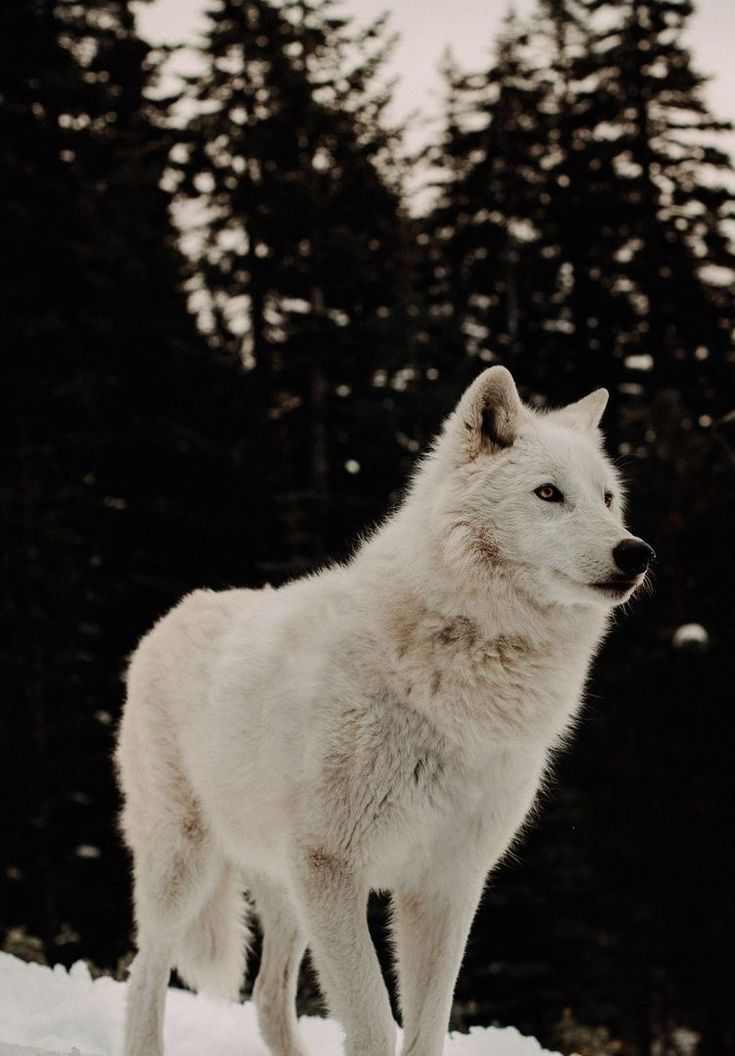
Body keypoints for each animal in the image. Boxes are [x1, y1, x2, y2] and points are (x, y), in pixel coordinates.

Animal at [111, 369, 650, 1056]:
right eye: (549, 493)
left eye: (607, 499)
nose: (636, 553)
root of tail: (178, 612)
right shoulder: (334, 868)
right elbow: (371, 1023)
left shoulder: (446, 883)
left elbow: (425, 1028)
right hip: (186, 861)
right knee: (145, 973)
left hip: (284, 890)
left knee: (267, 996)